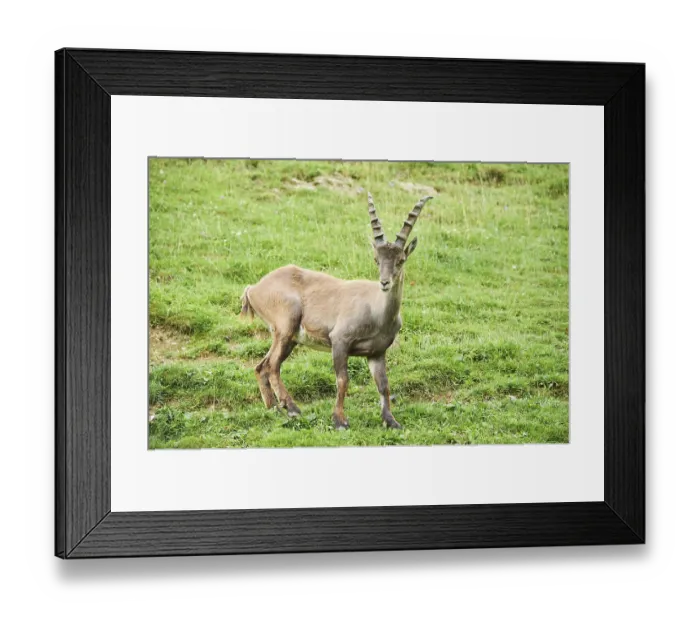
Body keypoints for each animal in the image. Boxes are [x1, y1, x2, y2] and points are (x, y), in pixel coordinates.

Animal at [240, 192, 432, 430]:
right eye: (376, 260)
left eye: (401, 260)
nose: (384, 282)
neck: (377, 312)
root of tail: (254, 288)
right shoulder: (340, 340)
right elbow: (343, 380)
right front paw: (339, 420)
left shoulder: (377, 353)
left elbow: (383, 384)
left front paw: (391, 421)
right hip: (286, 325)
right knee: (273, 365)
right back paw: (292, 408)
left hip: (288, 337)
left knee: (262, 366)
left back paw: (274, 408)